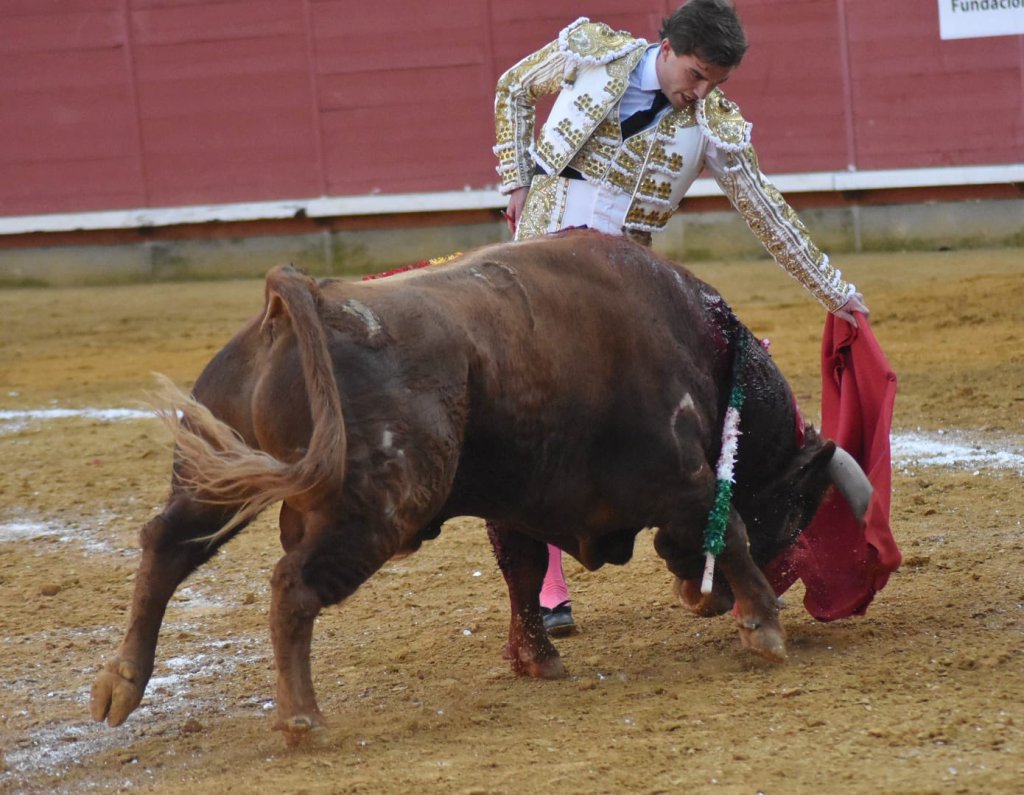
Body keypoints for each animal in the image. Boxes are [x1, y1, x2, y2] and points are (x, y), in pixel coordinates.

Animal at [90, 230, 870, 740]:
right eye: (793, 515)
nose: (705, 603)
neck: (703, 350)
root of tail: (304, 298)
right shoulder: (683, 477)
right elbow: (727, 528)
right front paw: (764, 626)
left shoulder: (526, 500)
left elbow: (522, 573)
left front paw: (538, 660)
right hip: (378, 509)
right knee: (291, 586)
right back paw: (301, 718)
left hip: (210, 475)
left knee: (166, 544)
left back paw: (120, 685)